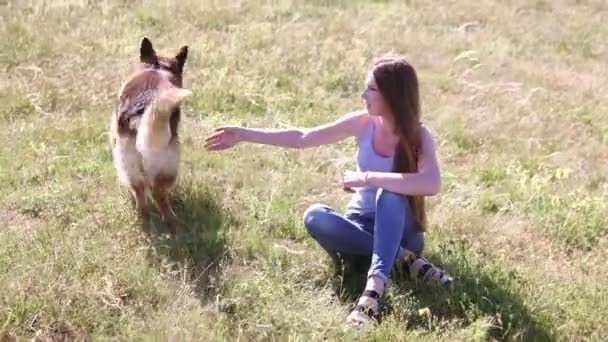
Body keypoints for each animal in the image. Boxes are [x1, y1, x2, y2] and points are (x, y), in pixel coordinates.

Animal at [110, 37, 190, 231]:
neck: (158, 68)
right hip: (170, 162)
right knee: (158, 194)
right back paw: (172, 221)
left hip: (128, 163)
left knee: (140, 195)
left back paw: (143, 218)